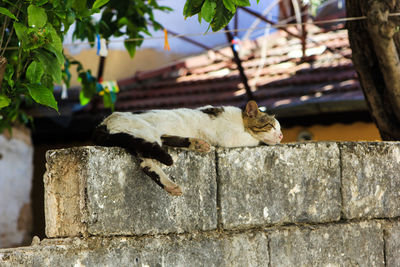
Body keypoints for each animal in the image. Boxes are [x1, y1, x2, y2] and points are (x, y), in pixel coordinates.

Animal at [92, 100, 282, 197]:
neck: (239, 120)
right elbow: (255, 140)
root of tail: (103, 122)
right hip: (145, 132)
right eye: (271, 126)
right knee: (150, 159)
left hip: (145, 138)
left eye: (280, 129)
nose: (281, 136)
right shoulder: (230, 137)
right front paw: (266, 141)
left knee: (147, 161)